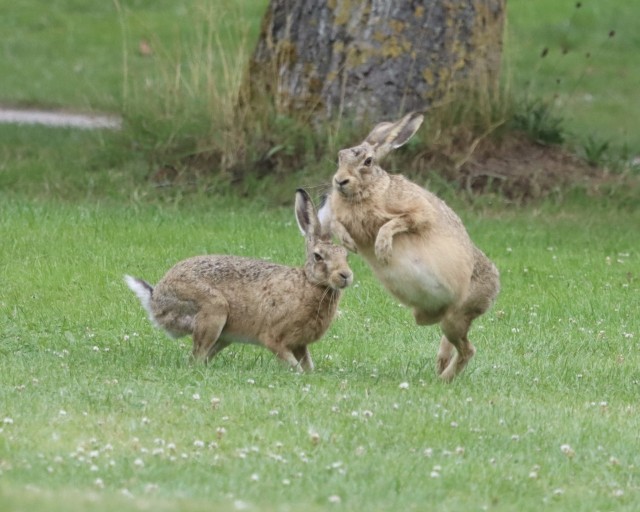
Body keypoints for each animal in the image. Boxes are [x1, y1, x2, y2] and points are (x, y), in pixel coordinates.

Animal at [125, 188, 353, 372]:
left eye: (346, 255)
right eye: (318, 256)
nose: (346, 275)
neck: (309, 283)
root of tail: (155, 298)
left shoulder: (300, 345)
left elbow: (307, 365)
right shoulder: (274, 338)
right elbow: (293, 365)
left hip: (223, 335)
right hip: (212, 311)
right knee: (195, 359)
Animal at [321, 112, 500, 382]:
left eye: (368, 161)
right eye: (340, 157)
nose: (339, 181)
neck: (369, 191)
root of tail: (495, 287)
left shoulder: (419, 212)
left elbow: (397, 222)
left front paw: (382, 248)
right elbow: (335, 223)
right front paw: (349, 243)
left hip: (456, 317)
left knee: (468, 349)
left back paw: (442, 379)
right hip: (439, 319)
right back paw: (440, 365)